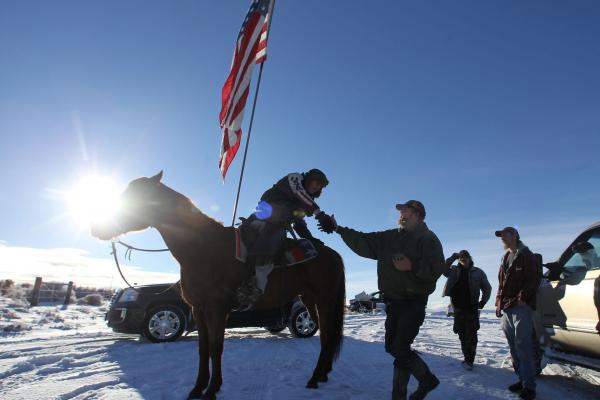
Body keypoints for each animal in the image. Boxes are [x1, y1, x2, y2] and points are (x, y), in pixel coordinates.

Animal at [88, 172, 342, 400]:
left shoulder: (217, 309)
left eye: (137, 195)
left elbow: (216, 347)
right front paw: (197, 388)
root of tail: (334, 255)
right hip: (311, 301)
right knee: (326, 336)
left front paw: (212, 389)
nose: (97, 228)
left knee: (327, 337)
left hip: (324, 301)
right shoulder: (198, 309)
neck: (203, 248)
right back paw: (321, 375)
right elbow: (203, 349)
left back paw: (314, 378)